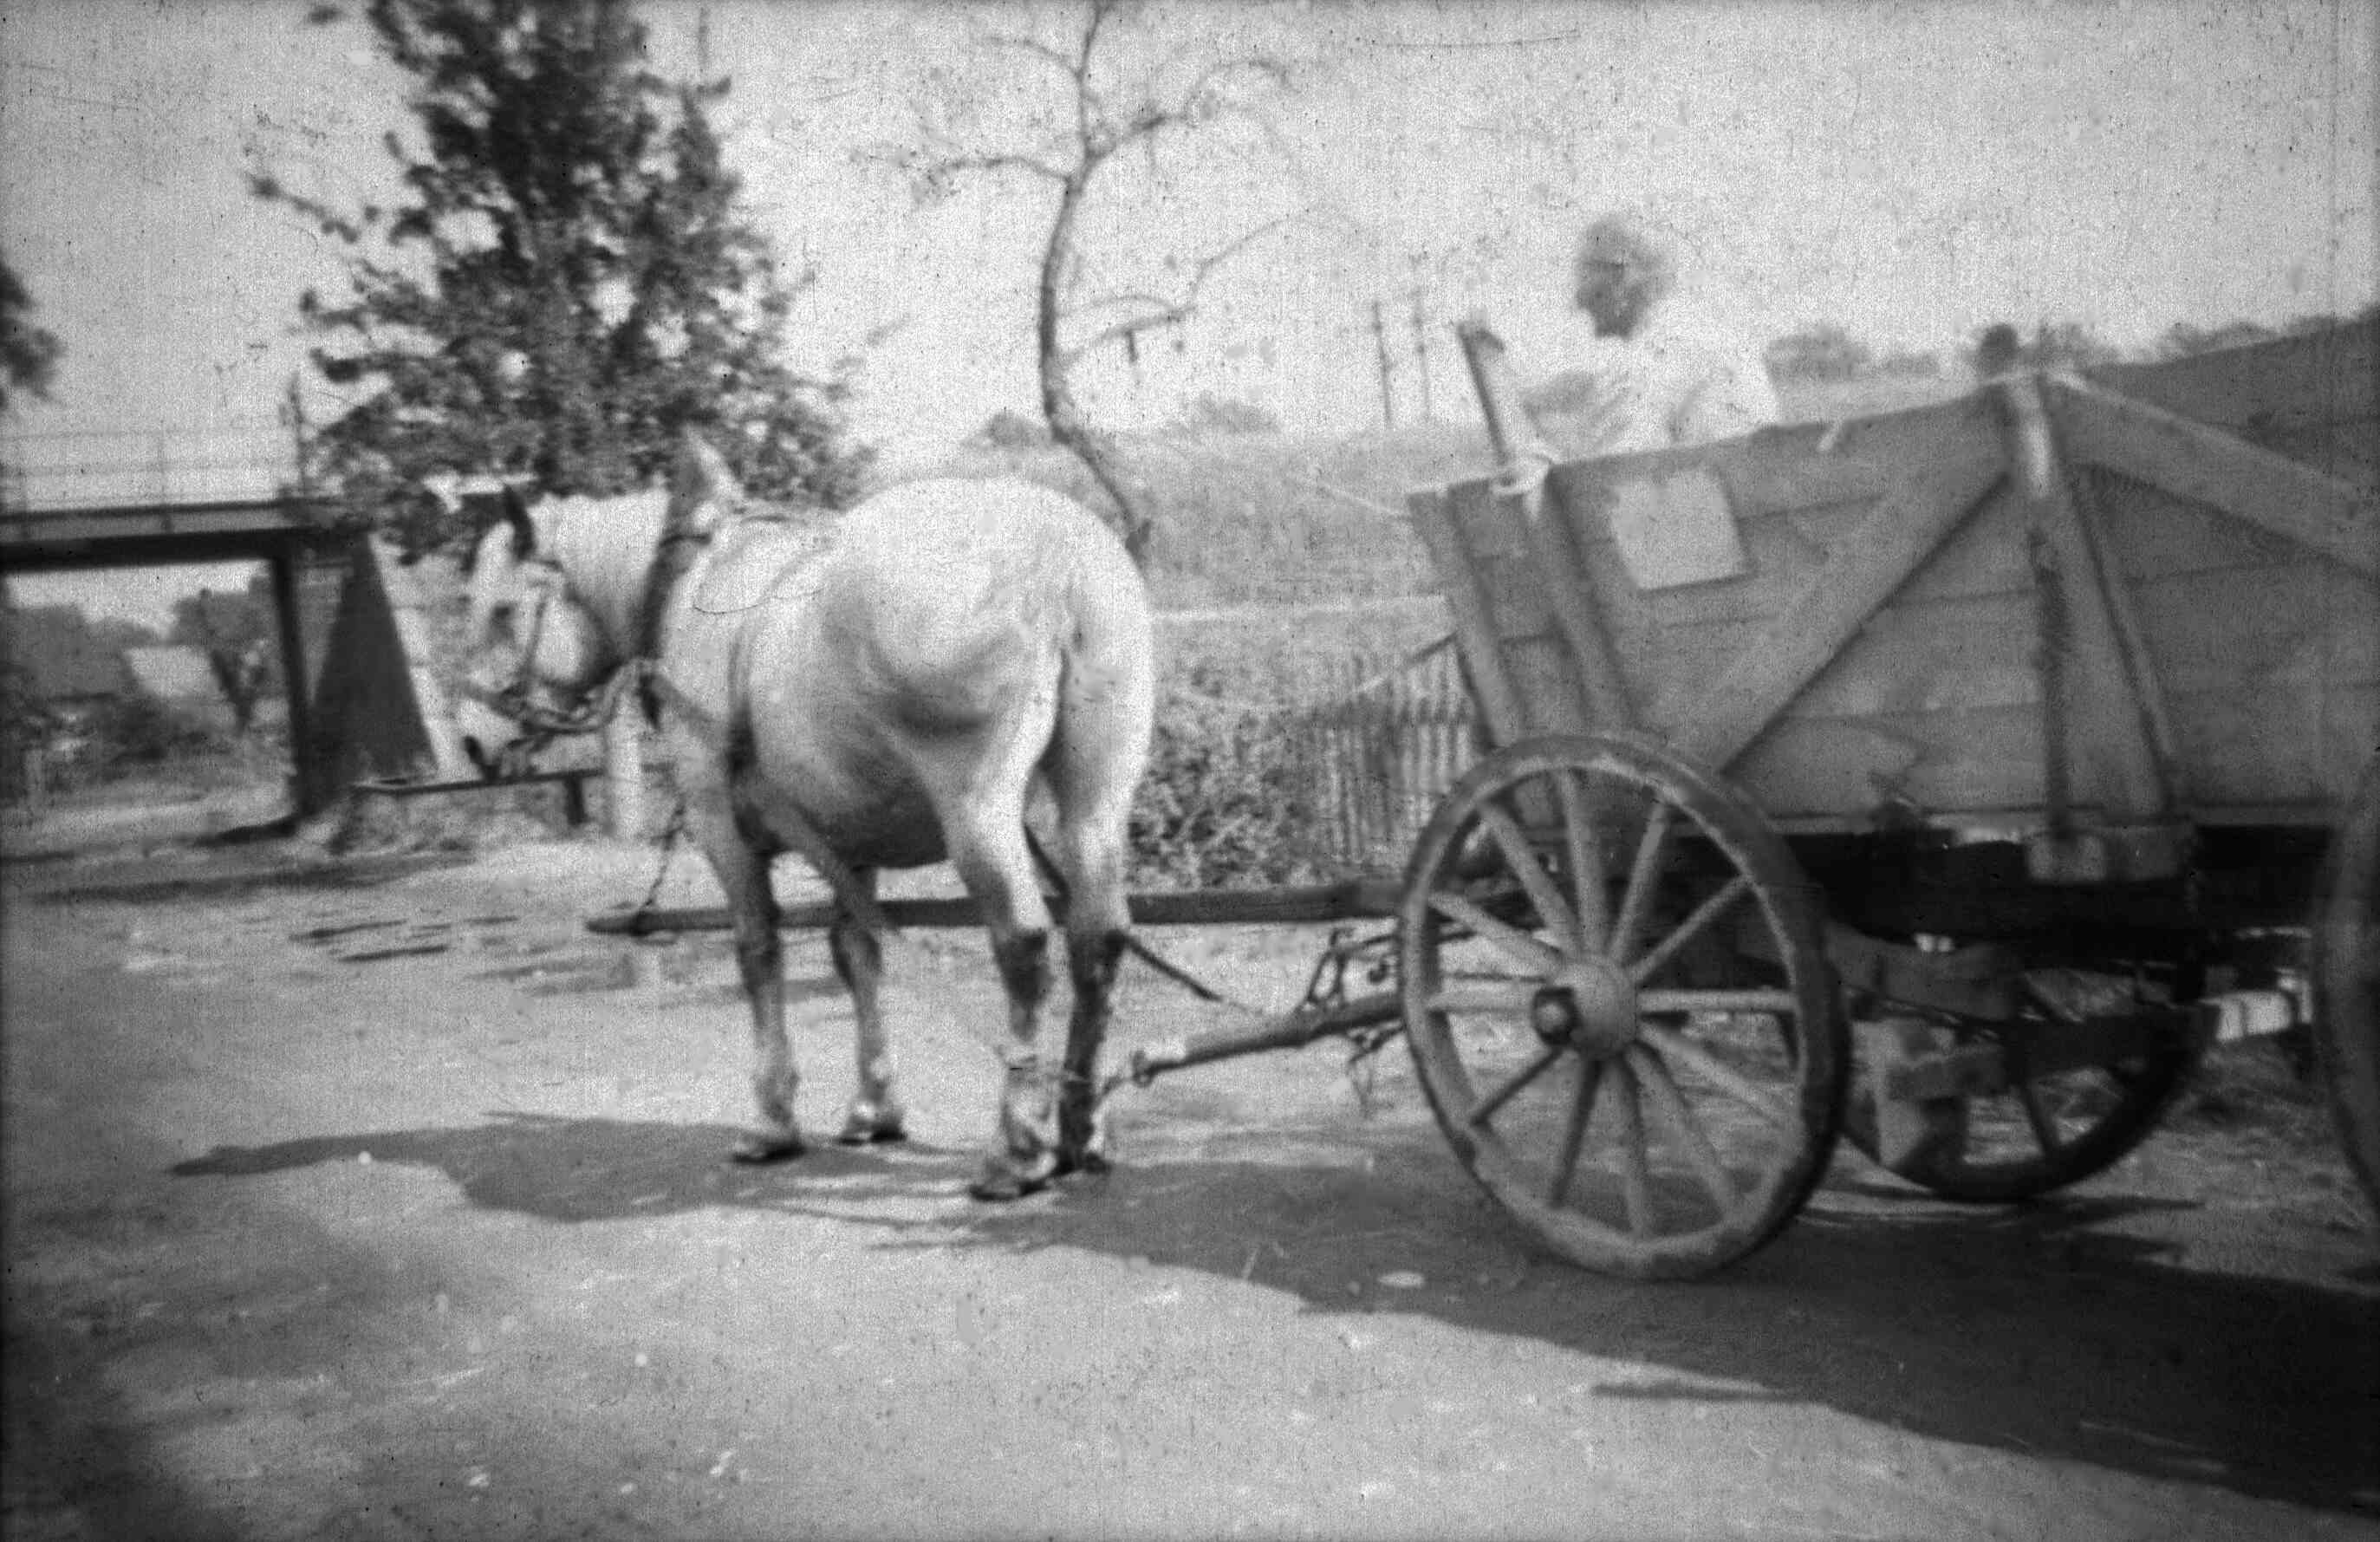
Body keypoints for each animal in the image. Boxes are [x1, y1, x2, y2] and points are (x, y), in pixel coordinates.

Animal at [457, 439, 1161, 1199]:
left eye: (502, 611)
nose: (471, 740)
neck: (688, 587)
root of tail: (1061, 561)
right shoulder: (848, 836)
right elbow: (857, 951)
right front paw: (874, 1106)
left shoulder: (721, 827)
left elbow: (758, 950)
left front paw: (772, 1118)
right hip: (1097, 796)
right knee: (1098, 937)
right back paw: (1081, 1124)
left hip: (977, 807)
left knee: (1024, 945)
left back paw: (1016, 1146)